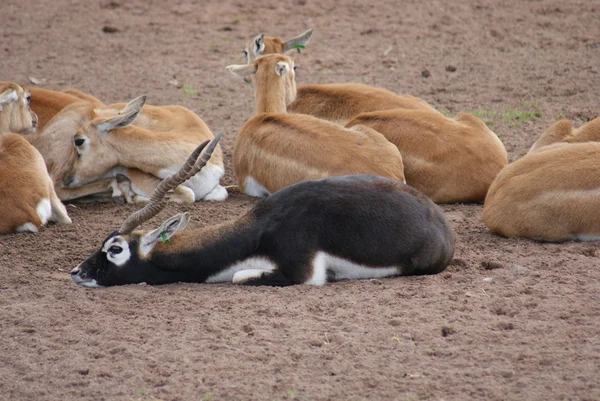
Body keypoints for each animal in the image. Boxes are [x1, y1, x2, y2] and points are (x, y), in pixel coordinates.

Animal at [70, 136, 454, 286]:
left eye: (115, 249)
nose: (77, 271)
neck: (262, 229)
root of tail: (440, 222)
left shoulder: (302, 273)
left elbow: (240, 276)